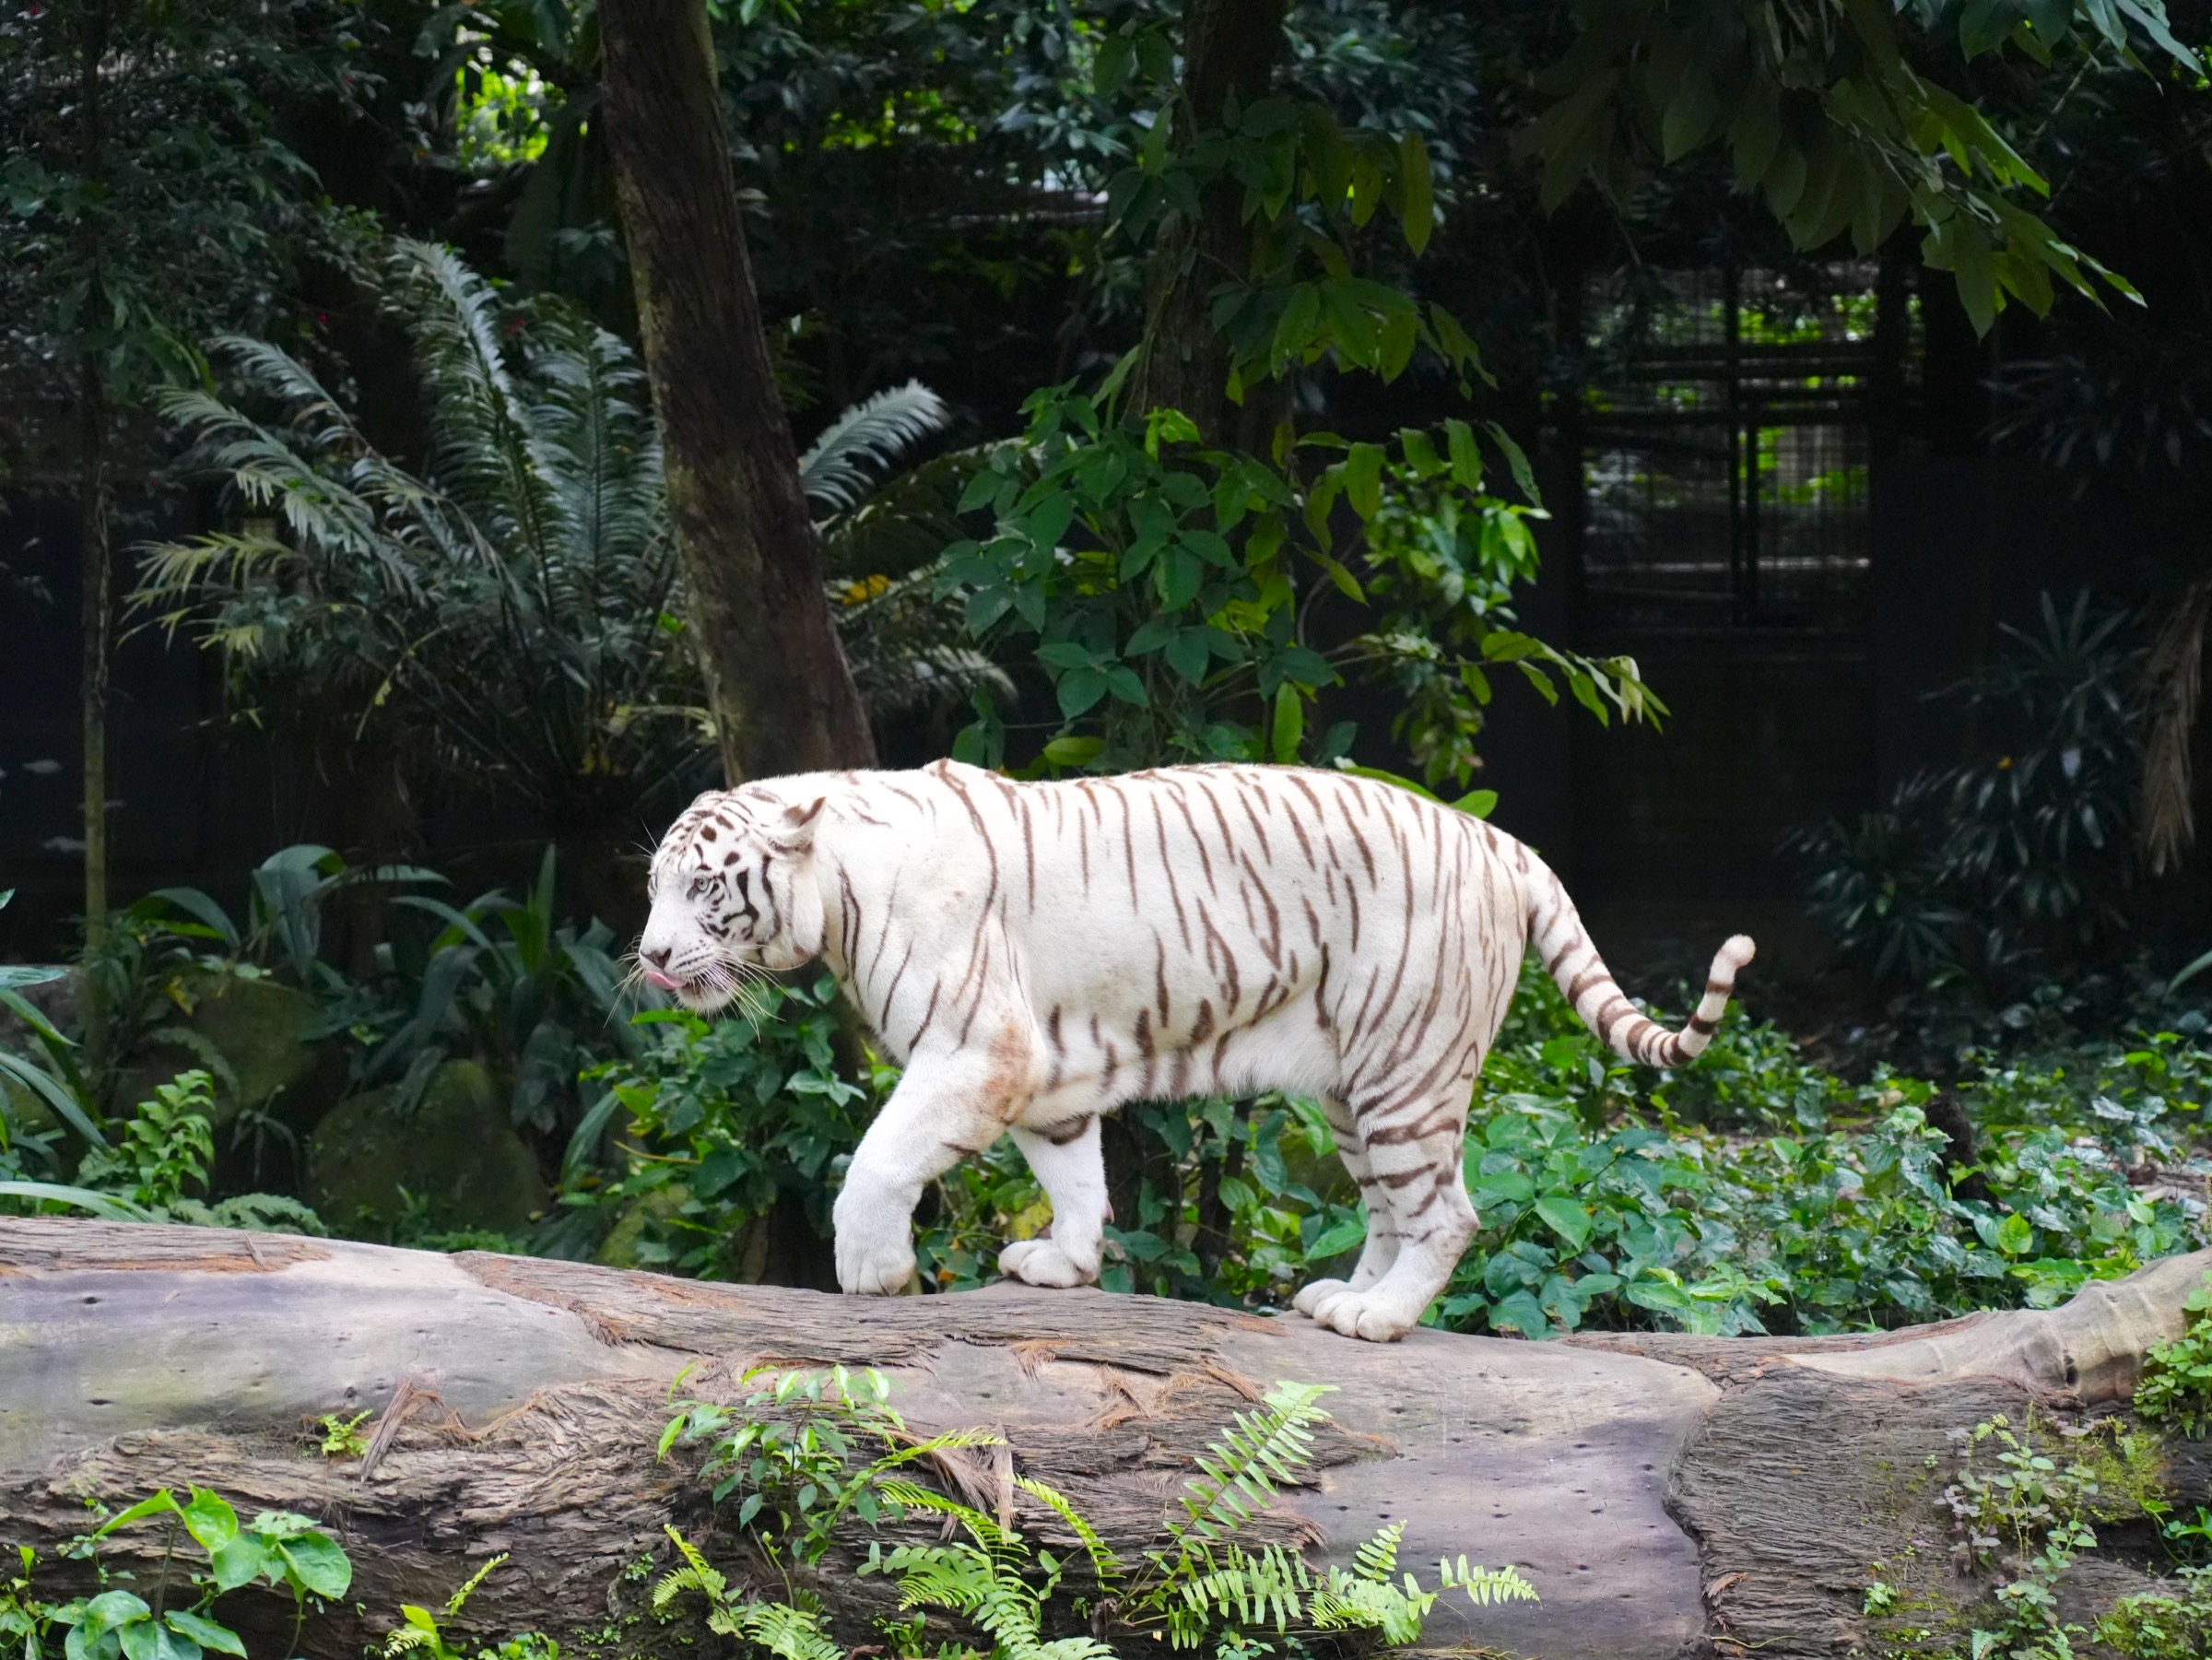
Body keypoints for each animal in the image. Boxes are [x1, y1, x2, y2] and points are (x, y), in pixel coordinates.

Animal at [632, 761, 1751, 1346]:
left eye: (703, 887)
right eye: (654, 886)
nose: (648, 955)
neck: (836, 894)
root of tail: (1503, 843)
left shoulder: (975, 1050)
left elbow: (878, 1157)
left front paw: (871, 1271)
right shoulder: (1046, 1074)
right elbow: (1075, 1175)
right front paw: (1066, 1262)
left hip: (1407, 1066)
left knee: (1449, 1213)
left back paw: (1381, 1318)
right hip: (1355, 1085)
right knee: (1395, 1209)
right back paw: (1342, 1298)